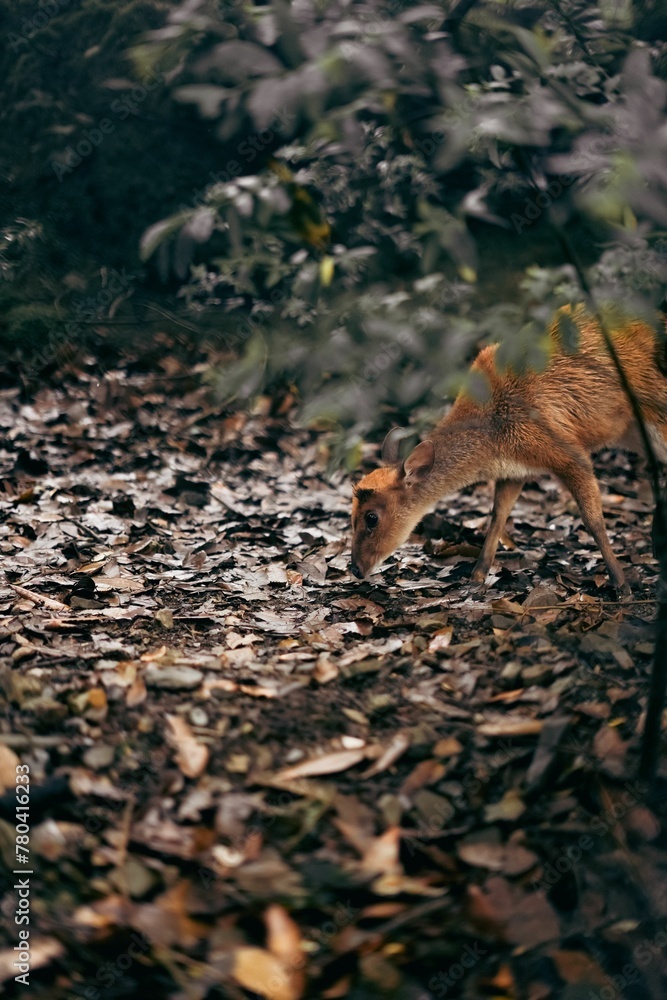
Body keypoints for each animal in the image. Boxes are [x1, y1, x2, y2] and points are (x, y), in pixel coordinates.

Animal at [350, 305, 667, 596]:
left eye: (371, 517)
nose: (354, 569)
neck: (491, 431)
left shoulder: (566, 451)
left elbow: (594, 521)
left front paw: (622, 586)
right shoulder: (515, 470)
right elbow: (497, 517)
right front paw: (477, 577)